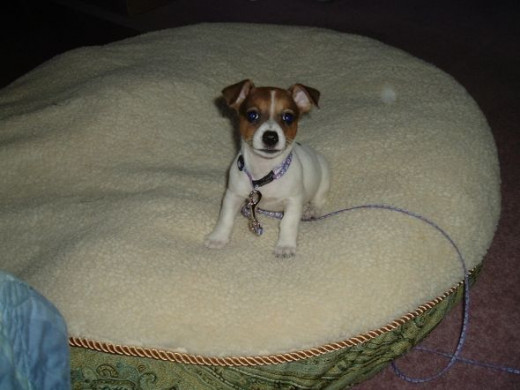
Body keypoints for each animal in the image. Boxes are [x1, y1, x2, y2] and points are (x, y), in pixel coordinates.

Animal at [204, 79, 330, 256]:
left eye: (288, 117)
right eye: (252, 115)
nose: (270, 137)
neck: (264, 171)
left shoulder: (293, 201)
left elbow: (288, 223)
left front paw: (285, 245)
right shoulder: (233, 195)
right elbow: (225, 217)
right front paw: (218, 237)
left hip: (323, 180)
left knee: (319, 199)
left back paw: (312, 210)